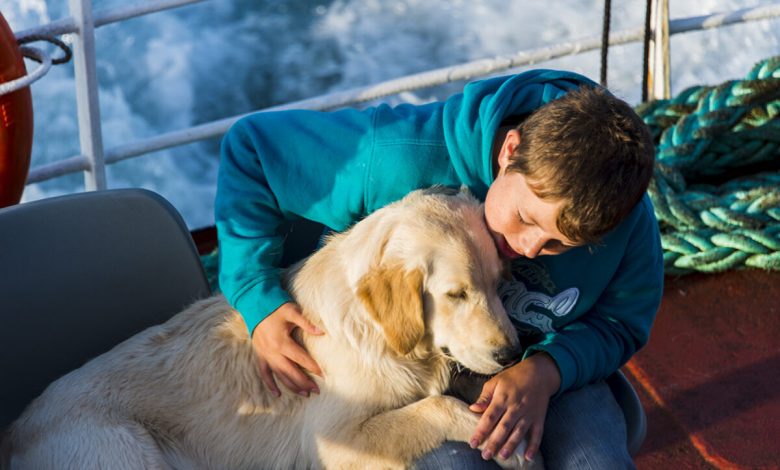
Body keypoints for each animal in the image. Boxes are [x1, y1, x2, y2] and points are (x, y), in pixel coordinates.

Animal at [3, 188, 536, 470]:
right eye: (455, 294)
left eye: (499, 282)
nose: (513, 354)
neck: (384, 338)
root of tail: (13, 431)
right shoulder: (334, 441)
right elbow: (437, 406)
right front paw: (514, 451)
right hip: (123, 451)